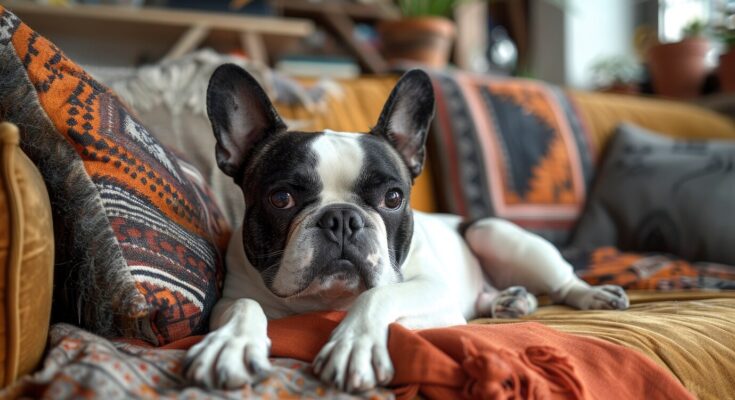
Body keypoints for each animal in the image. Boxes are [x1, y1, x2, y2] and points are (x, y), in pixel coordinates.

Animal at [183, 67, 628, 392]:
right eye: (281, 199)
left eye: (393, 198)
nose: (342, 218)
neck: (326, 302)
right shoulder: (231, 296)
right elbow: (244, 306)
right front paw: (231, 345)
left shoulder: (433, 290)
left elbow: (379, 296)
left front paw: (354, 344)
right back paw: (509, 301)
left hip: (494, 234)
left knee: (564, 281)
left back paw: (591, 295)